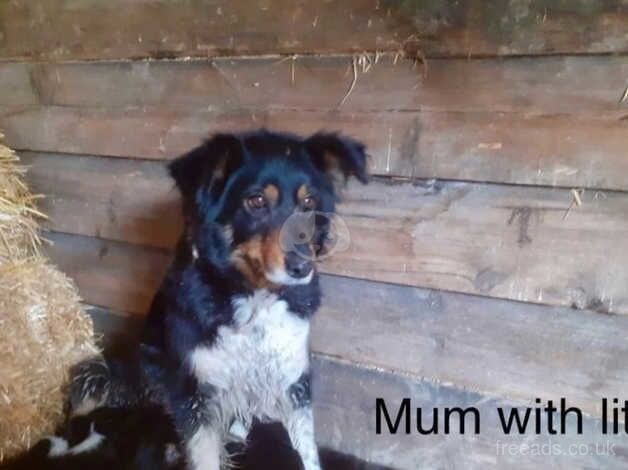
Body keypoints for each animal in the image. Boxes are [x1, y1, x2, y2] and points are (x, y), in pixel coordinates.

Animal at [70, 129, 368, 470]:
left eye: (309, 202)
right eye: (256, 201)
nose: (302, 267)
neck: (255, 296)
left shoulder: (293, 382)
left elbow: (308, 453)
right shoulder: (195, 395)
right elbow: (205, 457)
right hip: (107, 375)